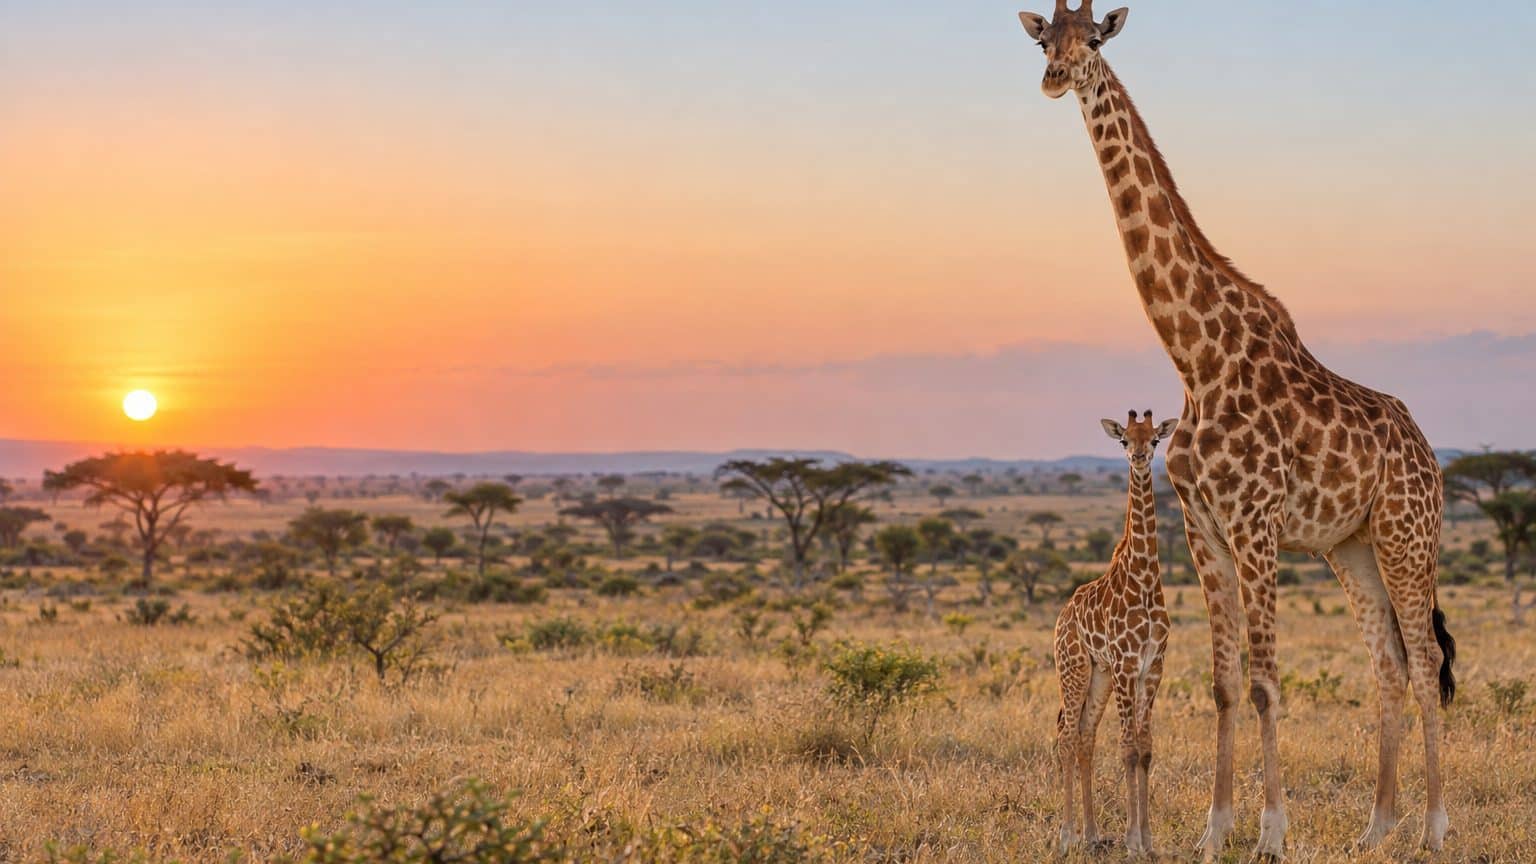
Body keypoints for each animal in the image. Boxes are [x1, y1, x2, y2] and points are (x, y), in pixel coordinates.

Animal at [1054, 410, 1176, 855]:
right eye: (1124, 440)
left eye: (1155, 439)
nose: (1139, 458)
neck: (1145, 578)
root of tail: (1063, 614)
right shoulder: (1126, 666)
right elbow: (1126, 748)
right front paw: (1132, 841)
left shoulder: (1151, 668)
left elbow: (1145, 748)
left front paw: (1148, 840)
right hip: (1073, 668)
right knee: (1066, 736)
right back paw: (1067, 835)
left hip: (1098, 675)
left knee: (1085, 736)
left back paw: (1090, 834)